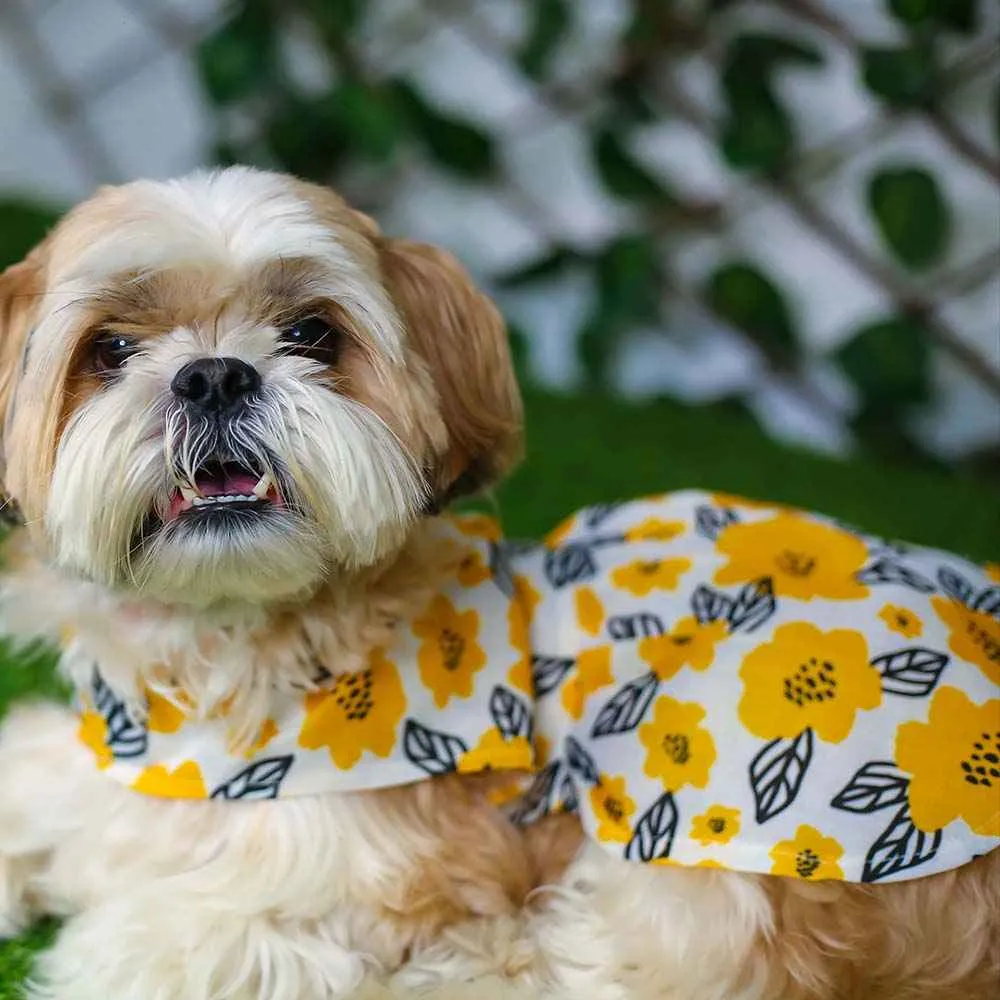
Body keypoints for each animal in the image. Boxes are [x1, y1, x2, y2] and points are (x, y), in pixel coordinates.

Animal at [0, 166, 996, 1000]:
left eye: (312, 333)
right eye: (111, 348)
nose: (213, 375)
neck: (229, 660)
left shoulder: (344, 890)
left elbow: (148, 950)